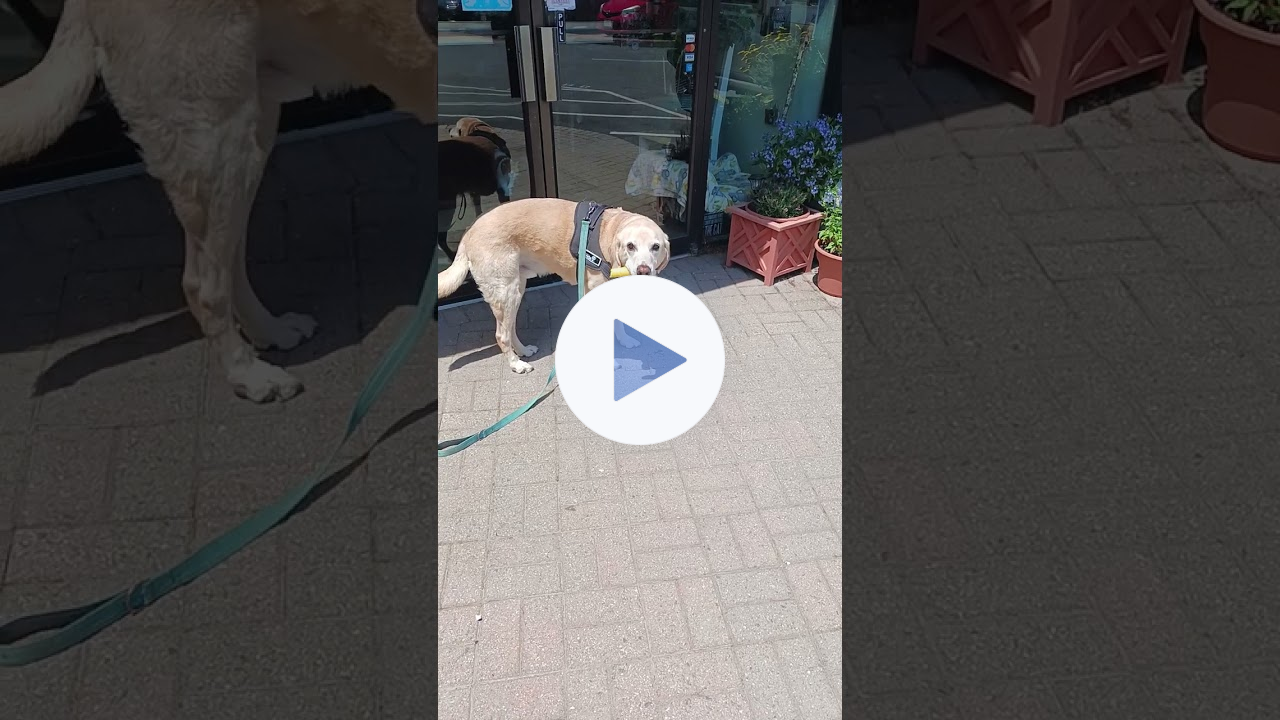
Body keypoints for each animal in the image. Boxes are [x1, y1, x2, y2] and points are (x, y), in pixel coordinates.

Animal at [1, 0, 435, 404]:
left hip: (247, 135)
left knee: (227, 264)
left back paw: (269, 330)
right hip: (216, 138)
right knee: (204, 284)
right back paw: (249, 374)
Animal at [437, 198, 670, 371]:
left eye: (655, 247)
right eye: (630, 246)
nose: (643, 270)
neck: (610, 234)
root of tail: (469, 231)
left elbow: (618, 323)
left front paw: (625, 340)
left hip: (516, 289)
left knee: (509, 328)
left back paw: (522, 351)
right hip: (505, 291)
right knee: (501, 335)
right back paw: (516, 364)